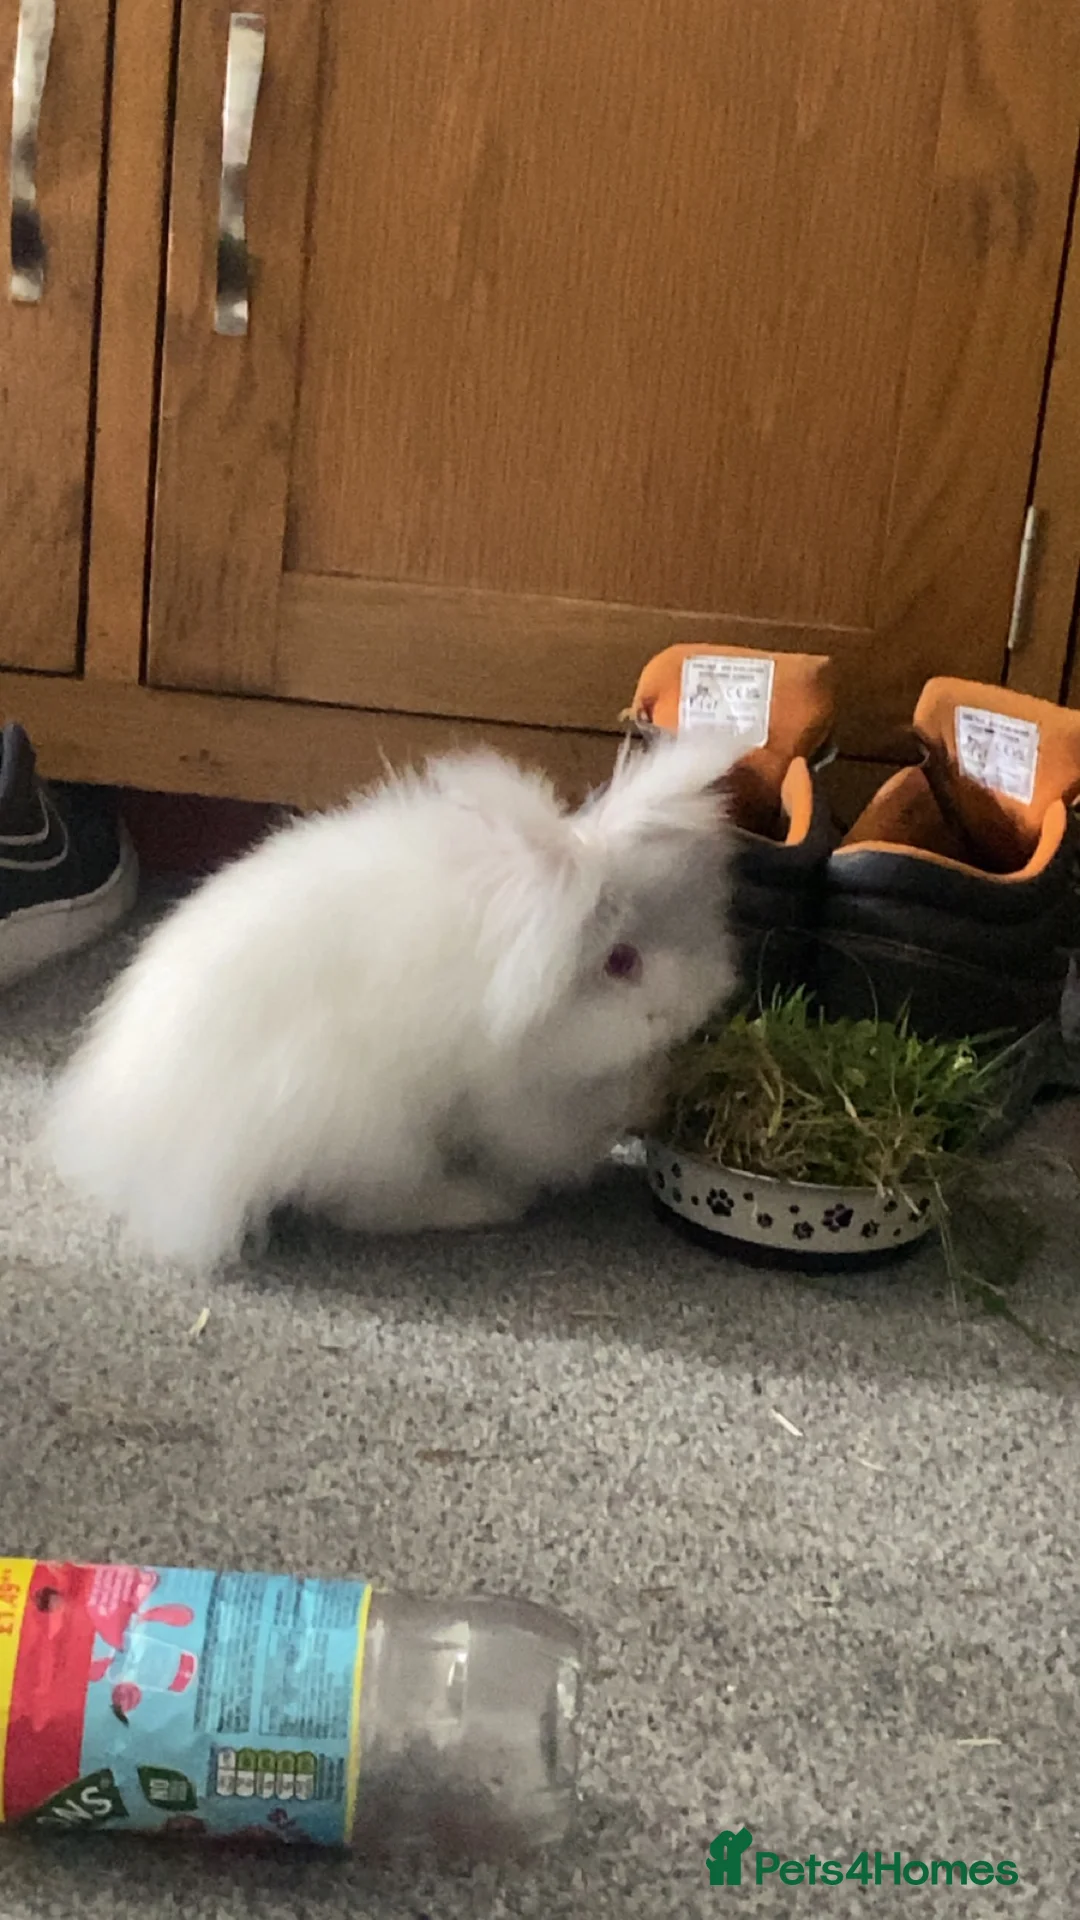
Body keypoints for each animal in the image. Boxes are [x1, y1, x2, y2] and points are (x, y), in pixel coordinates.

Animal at [44, 729, 739, 1270]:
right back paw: (480, 1204)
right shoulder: (510, 1100)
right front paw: (642, 1097)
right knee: (364, 1206)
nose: (690, 1010)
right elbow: (552, 1133)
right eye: (622, 961)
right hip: (365, 1122)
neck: (501, 955)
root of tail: (124, 1142)